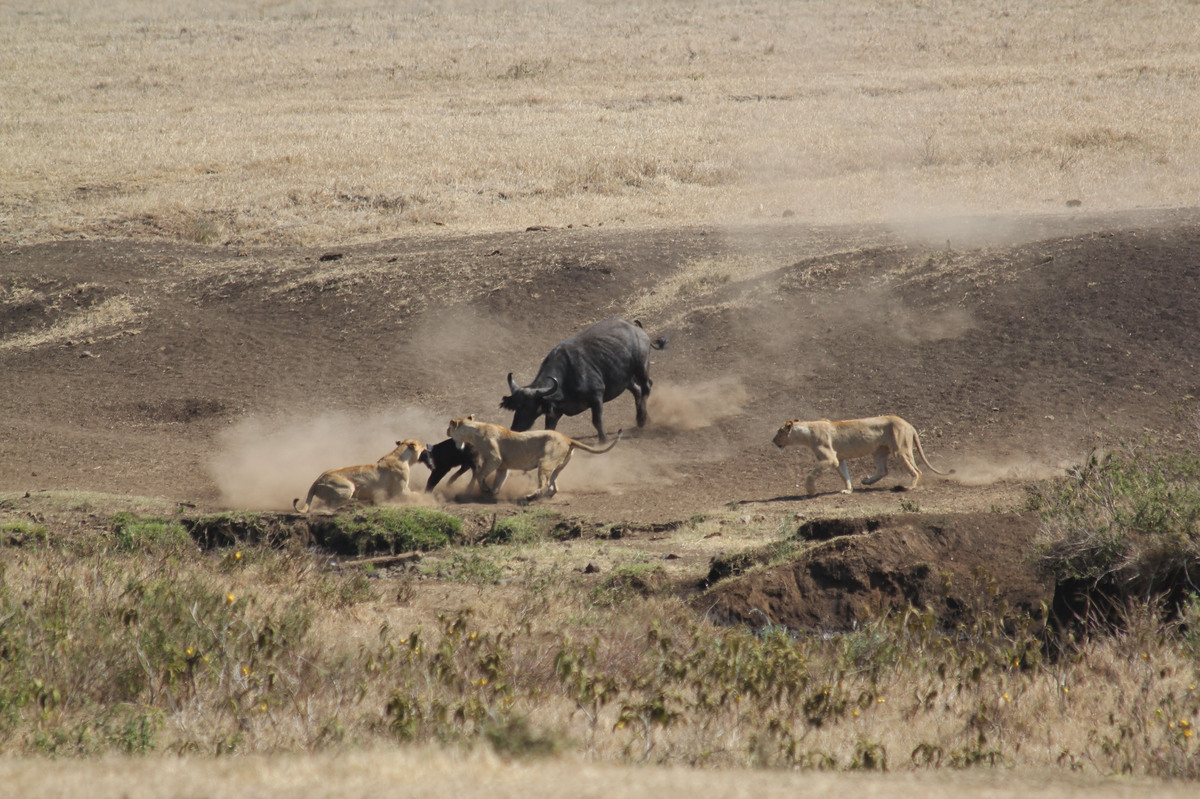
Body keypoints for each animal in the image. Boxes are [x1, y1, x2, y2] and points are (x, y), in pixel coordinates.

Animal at [496, 316, 667, 441]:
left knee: (646, 387)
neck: (566, 379)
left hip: (641, 368)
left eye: (529, 406)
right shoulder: (554, 413)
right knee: (637, 390)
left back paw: (643, 419)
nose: (516, 428)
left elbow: (597, 421)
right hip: (626, 379)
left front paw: (603, 440)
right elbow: (549, 429)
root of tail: (633, 324)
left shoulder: (597, 397)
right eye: (516, 407)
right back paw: (641, 419)